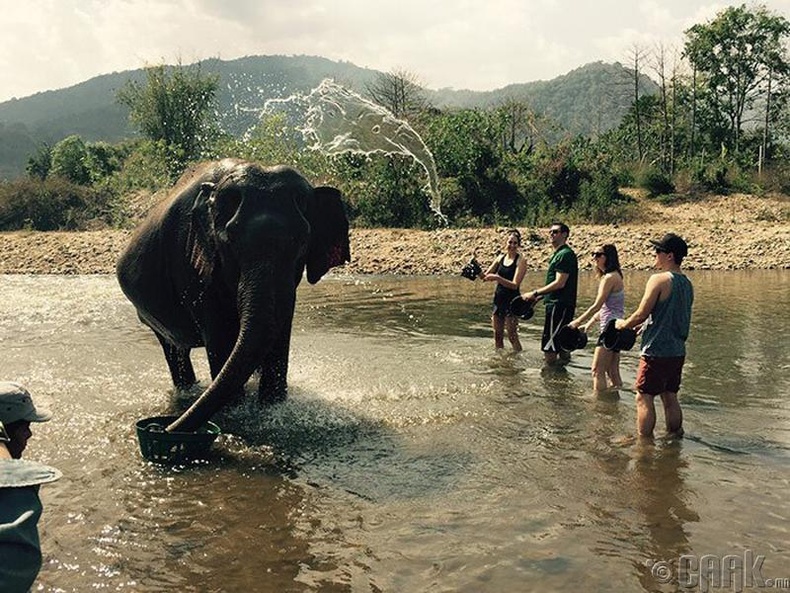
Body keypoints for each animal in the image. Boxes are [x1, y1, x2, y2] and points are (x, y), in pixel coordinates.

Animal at [116, 160, 352, 432]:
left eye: (302, 242)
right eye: (230, 243)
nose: (163, 429)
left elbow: (278, 332)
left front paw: (272, 408)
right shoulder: (191, 263)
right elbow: (219, 334)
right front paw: (236, 410)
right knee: (174, 350)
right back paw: (188, 392)